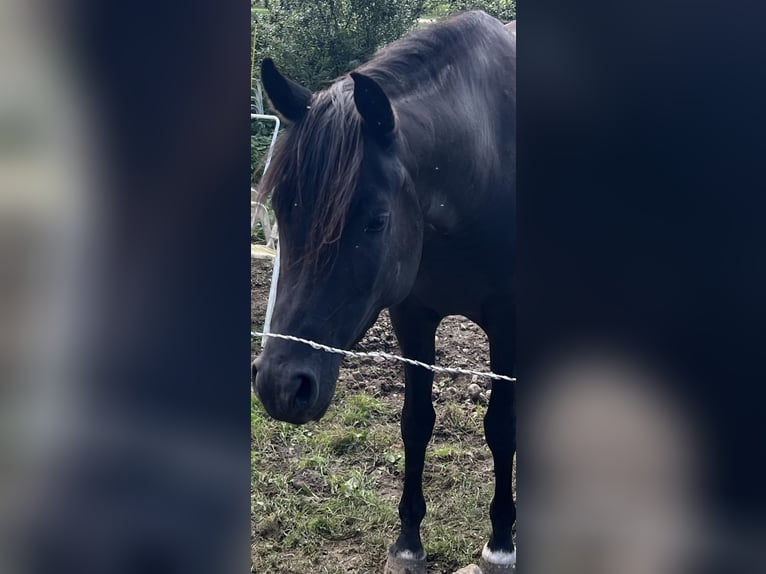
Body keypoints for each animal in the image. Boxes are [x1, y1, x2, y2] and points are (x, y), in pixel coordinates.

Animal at [252, 11, 516, 573]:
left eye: (376, 220)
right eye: (282, 209)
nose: (282, 386)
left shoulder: (509, 326)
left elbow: (501, 427)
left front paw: (501, 542)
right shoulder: (412, 318)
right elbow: (416, 422)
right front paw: (408, 541)